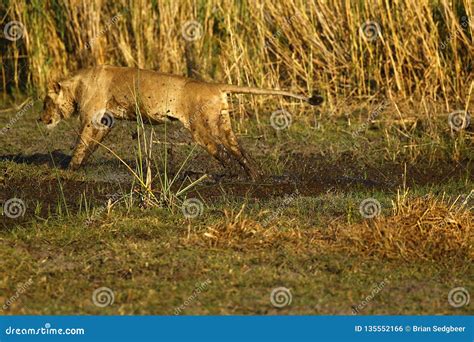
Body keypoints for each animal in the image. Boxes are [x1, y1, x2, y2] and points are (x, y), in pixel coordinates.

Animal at [40, 65, 322, 180]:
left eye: (45, 102)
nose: (39, 118)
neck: (76, 84)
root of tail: (215, 86)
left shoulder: (92, 117)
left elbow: (81, 144)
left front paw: (68, 169)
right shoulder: (105, 120)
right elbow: (90, 145)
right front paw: (78, 166)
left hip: (200, 126)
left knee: (221, 151)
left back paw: (230, 175)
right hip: (222, 122)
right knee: (238, 149)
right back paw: (254, 175)